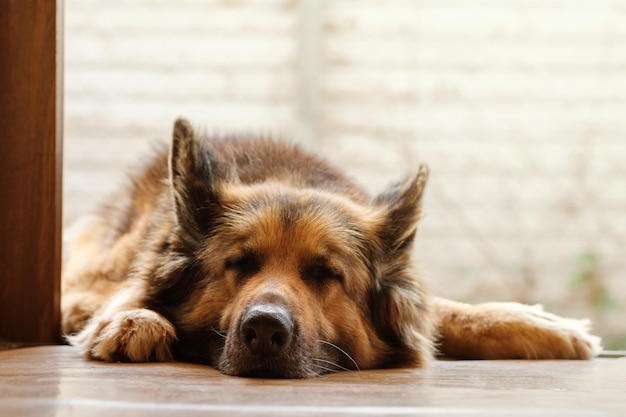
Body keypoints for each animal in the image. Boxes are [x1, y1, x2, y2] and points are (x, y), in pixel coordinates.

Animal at [62, 117, 600, 376]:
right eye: (239, 263)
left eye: (327, 274)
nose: (264, 331)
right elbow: (125, 298)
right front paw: (133, 319)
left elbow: (442, 311)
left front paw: (541, 326)